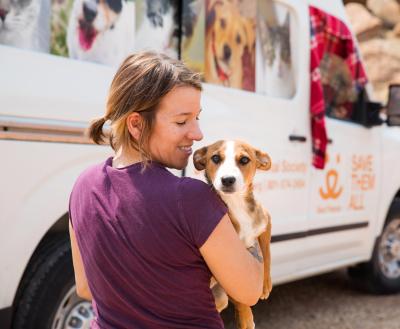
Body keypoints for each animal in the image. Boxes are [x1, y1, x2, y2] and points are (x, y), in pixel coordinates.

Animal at [193, 139, 272, 328]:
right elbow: (241, 297)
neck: (237, 203)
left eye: (244, 160)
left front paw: (265, 285)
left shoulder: (266, 223)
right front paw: (246, 317)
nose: (227, 180)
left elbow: (266, 255)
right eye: (215, 158)